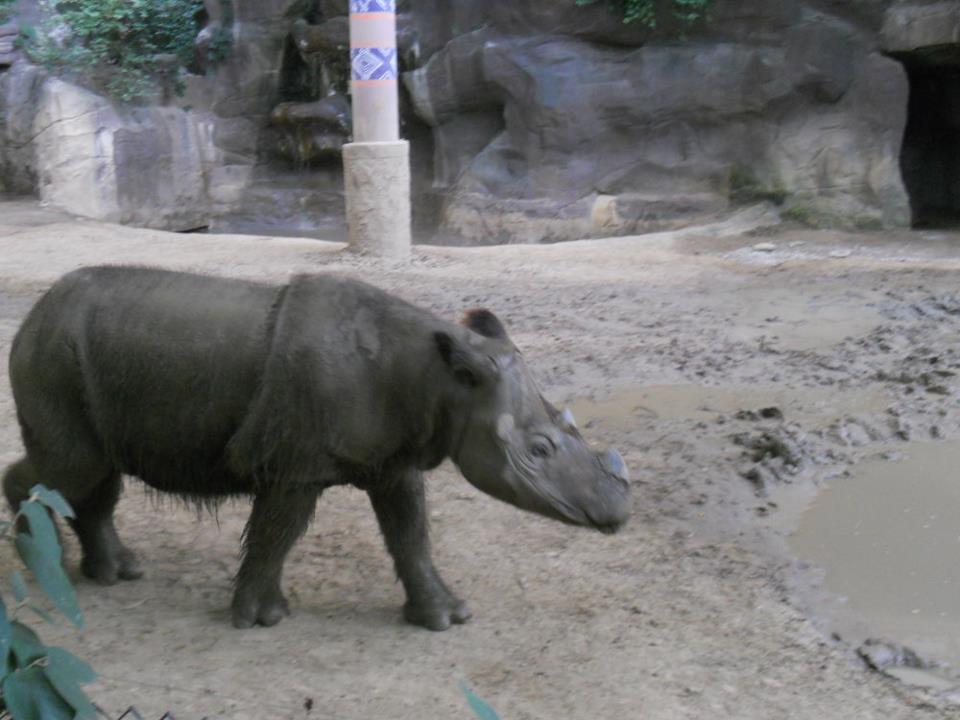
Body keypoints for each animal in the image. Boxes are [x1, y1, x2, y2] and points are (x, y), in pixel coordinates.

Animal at [3, 267, 630, 630]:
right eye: (540, 448)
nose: (618, 513)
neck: (442, 378)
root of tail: (36, 309)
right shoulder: (294, 464)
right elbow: (276, 535)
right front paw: (261, 619)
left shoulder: (394, 459)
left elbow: (411, 535)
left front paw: (447, 617)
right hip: (52, 351)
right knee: (73, 468)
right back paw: (45, 568)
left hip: (75, 356)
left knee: (92, 475)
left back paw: (115, 574)